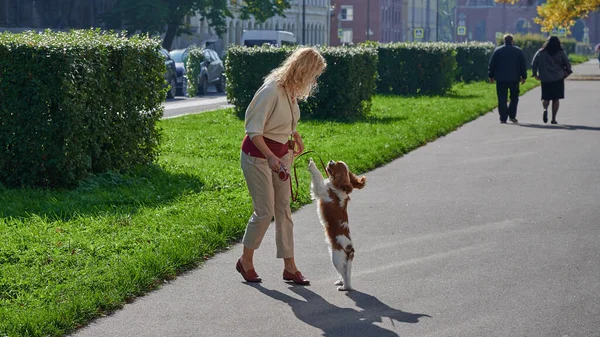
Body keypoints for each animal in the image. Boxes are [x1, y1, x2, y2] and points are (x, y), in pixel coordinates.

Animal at [310, 158, 366, 288]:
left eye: (335, 164)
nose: (331, 160)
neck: (338, 187)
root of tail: (351, 250)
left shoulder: (321, 189)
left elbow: (317, 175)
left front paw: (311, 164)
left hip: (336, 259)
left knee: (345, 274)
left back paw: (344, 287)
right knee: (343, 272)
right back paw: (340, 281)